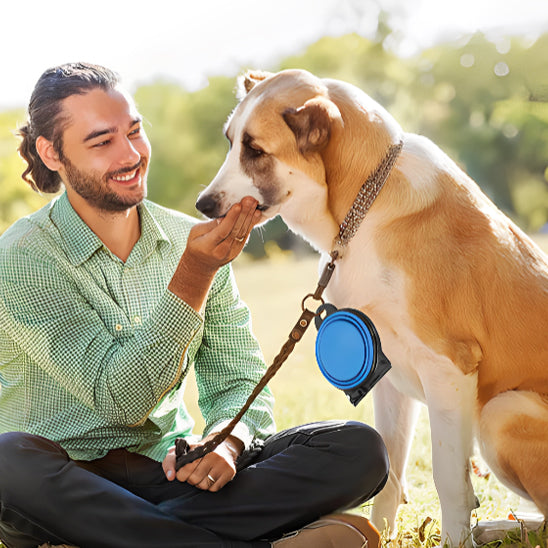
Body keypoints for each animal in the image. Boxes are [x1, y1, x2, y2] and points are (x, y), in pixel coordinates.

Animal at [197, 69, 548, 548]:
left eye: (255, 150)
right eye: (230, 142)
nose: (203, 205)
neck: (365, 207)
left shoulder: (448, 368)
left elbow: (448, 479)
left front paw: (455, 541)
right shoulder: (388, 372)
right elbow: (391, 471)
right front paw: (379, 533)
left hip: (501, 412)